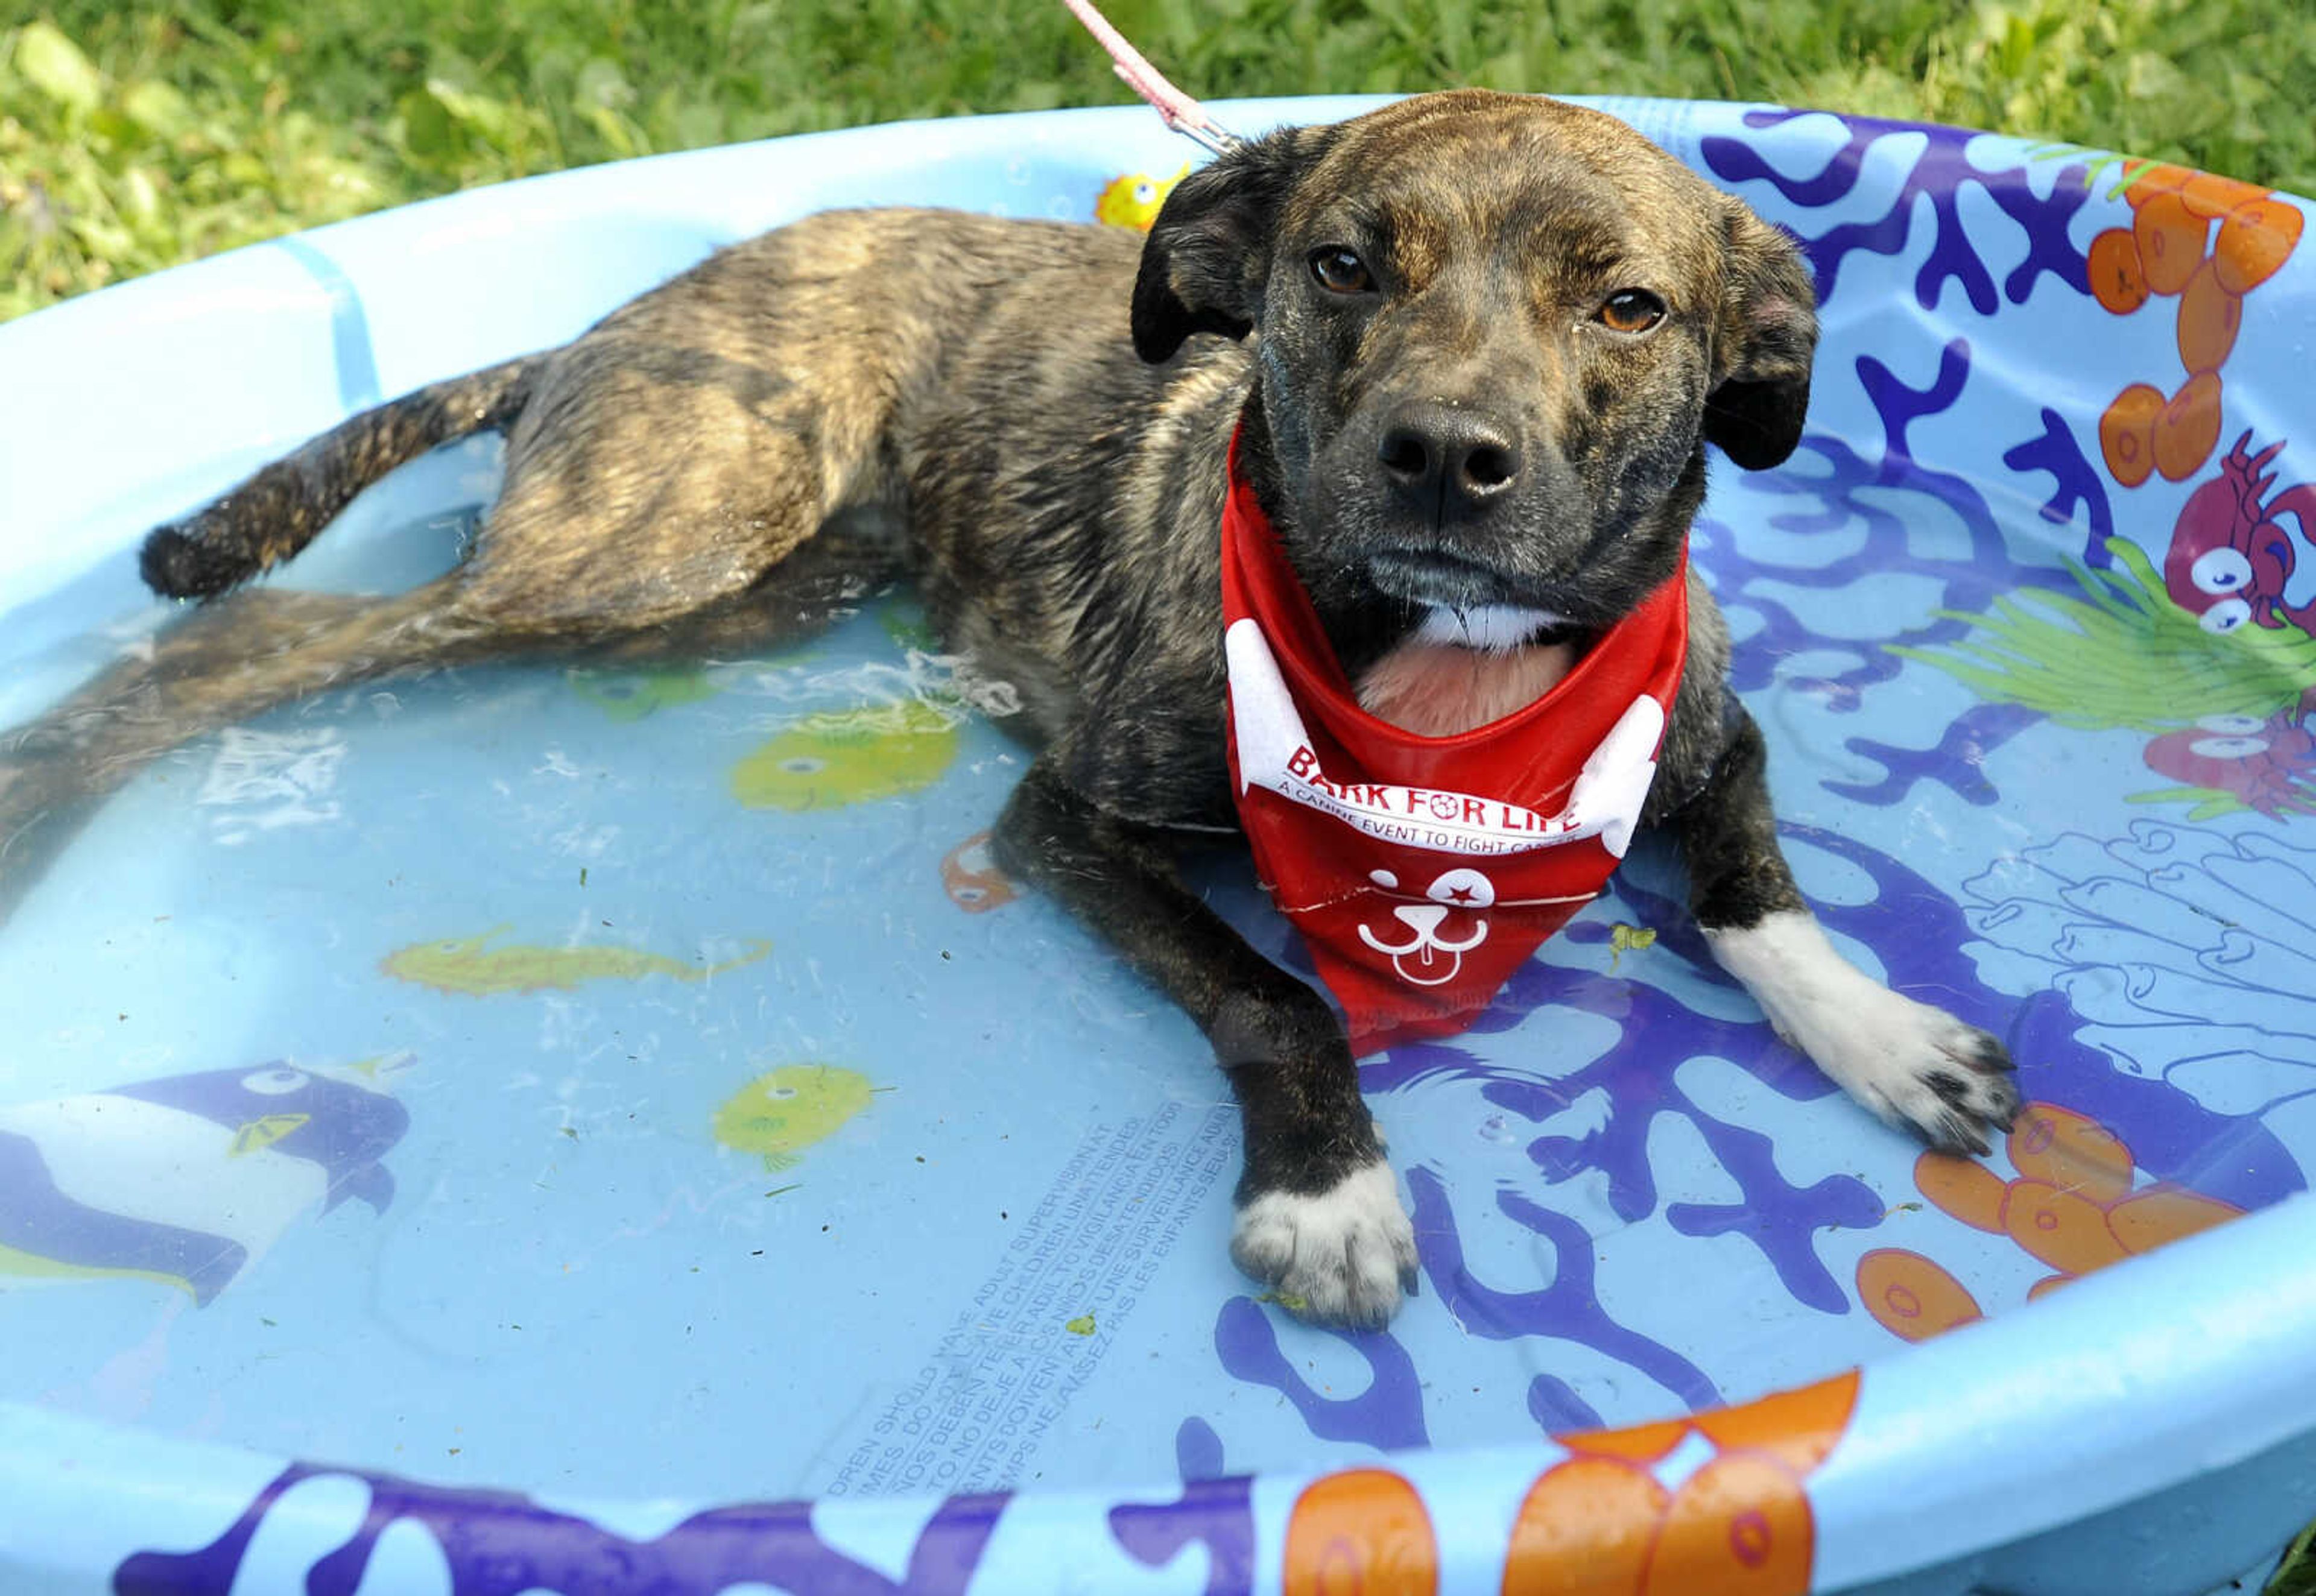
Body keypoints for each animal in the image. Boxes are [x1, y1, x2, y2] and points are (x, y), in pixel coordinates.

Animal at [0, 90, 2010, 1334]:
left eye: (1629, 306)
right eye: (1343, 263)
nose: (1444, 456)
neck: (1448, 679)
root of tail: (607, 321)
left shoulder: (1708, 738)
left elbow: (1756, 895)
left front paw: (1883, 1032)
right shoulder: (1068, 818)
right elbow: (1277, 990)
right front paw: (1333, 1192)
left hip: (751, 589)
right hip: (663, 537)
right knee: (257, 644)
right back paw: (58, 780)